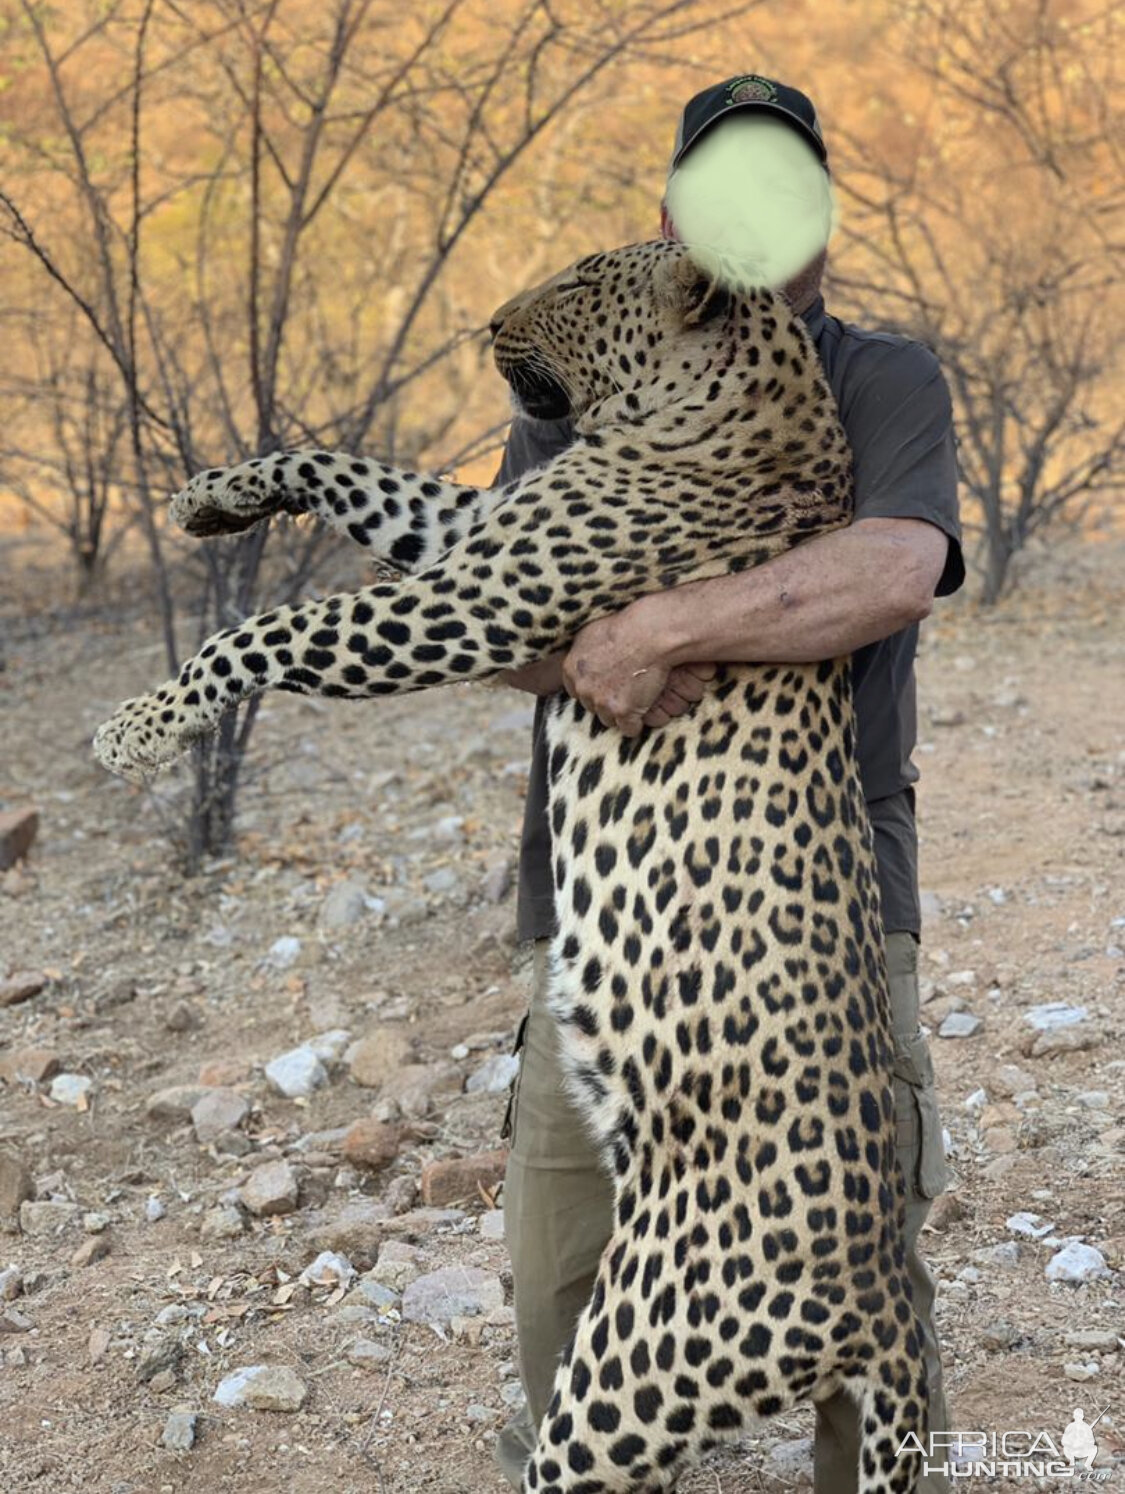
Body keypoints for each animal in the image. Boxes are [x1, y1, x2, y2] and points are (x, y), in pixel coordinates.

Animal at [94, 239, 920, 1488]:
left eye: (581, 279)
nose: (487, 319)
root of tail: (883, 1298)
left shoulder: (475, 600)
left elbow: (268, 631)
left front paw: (141, 728)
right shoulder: (473, 529)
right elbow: (347, 469)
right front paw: (214, 497)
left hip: (628, 1379)